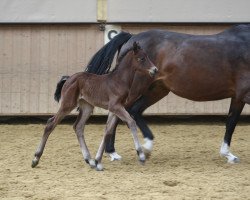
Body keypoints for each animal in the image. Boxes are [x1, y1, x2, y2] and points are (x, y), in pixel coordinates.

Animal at [30, 42, 156, 170]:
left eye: (147, 56)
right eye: (141, 58)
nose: (155, 69)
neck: (119, 81)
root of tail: (68, 79)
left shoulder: (116, 109)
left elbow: (108, 131)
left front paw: (98, 161)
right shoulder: (115, 106)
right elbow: (131, 122)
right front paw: (141, 156)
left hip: (87, 107)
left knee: (78, 127)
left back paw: (89, 160)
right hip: (68, 104)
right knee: (51, 123)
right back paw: (35, 159)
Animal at [86, 24, 250, 163]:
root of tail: (131, 39)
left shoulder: (238, 97)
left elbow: (231, 122)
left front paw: (228, 155)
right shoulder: (244, 94)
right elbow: (232, 122)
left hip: (158, 90)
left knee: (134, 111)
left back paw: (141, 148)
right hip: (137, 88)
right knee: (119, 112)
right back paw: (115, 152)